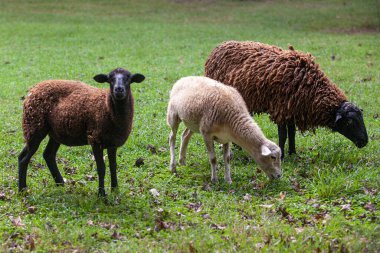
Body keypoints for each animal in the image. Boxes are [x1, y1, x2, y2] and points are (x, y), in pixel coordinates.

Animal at [17, 68, 146, 197]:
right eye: (110, 79)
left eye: (129, 78)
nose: (119, 89)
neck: (106, 107)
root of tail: (33, 89)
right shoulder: (95, 139)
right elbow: (101, 168)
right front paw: (101, 194)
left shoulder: (112, 143)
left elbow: (113, 167)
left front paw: (115, 190)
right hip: (34, 127)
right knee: (24, 158)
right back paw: (22, 189)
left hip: (55, 133)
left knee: (47, 154)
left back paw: (60, 183)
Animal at [205, 40, 368, 159]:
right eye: (349, 122)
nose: (365, 141)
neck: (311, 86)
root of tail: (217, 48)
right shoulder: (281, 109)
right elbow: (282, 135)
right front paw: (282, 155)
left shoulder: (292, 109)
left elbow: (292, 133)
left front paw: (293, 152)